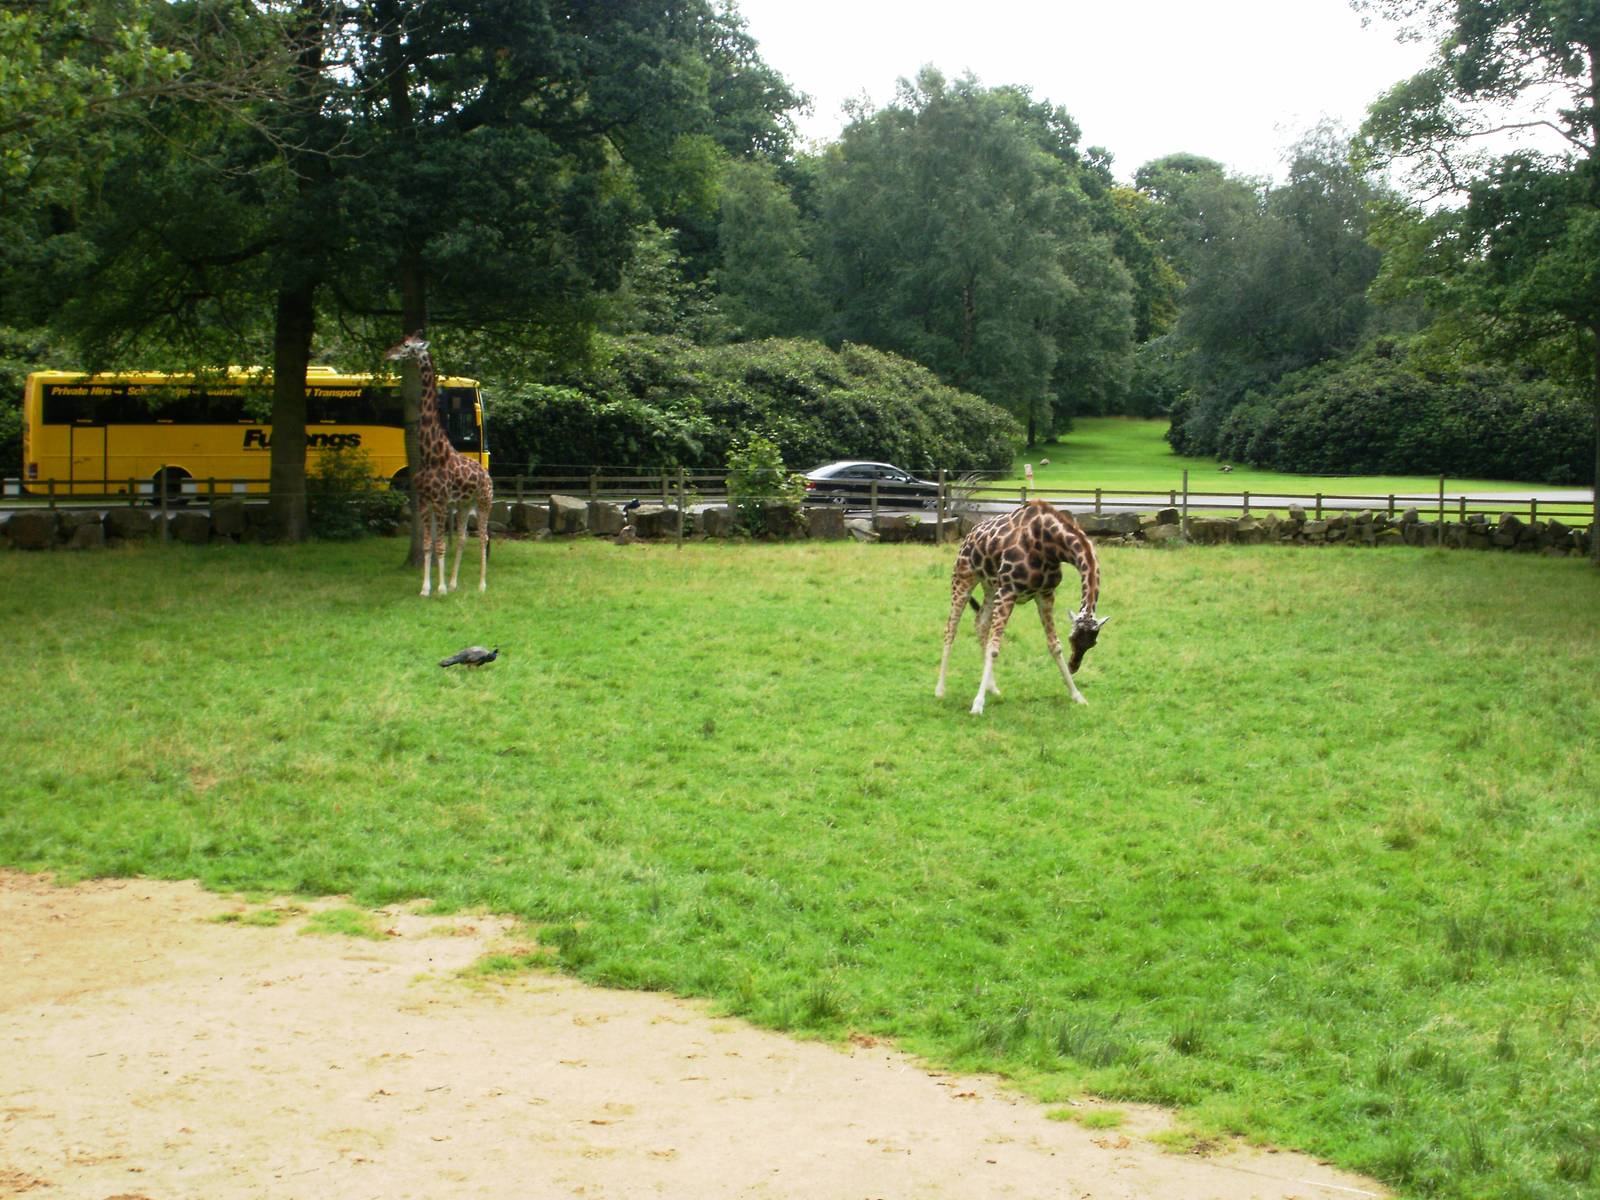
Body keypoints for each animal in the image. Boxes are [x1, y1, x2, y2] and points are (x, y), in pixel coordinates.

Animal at [385, 331, 493, 596]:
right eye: (400, 341)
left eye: (406, 346)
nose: (388, 354)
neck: (430, 453)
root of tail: (487, 474)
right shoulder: (425, 501)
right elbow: (427, 544)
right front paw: (426, 588)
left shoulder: (441, 501)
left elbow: (441, 544)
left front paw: (440, 588)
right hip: (465, 503)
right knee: (463, 538)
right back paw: (455, 583)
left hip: (484, 501)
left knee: (483, 537)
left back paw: (481, 584)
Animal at [936, 500, 1109, 715]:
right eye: (1073, 638)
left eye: (1092, 643)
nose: (1073, 666)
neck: (1050, 546)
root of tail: (969, 535)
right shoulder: (1008, 591)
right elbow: (994, 648)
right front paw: (977, 705)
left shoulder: (1045, 593)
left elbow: (1054, 646)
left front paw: (1078, 697)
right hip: (964, 577)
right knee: (951, 628)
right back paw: (940, 690)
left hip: (990, 587)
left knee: (980, 623)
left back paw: (992, 687)